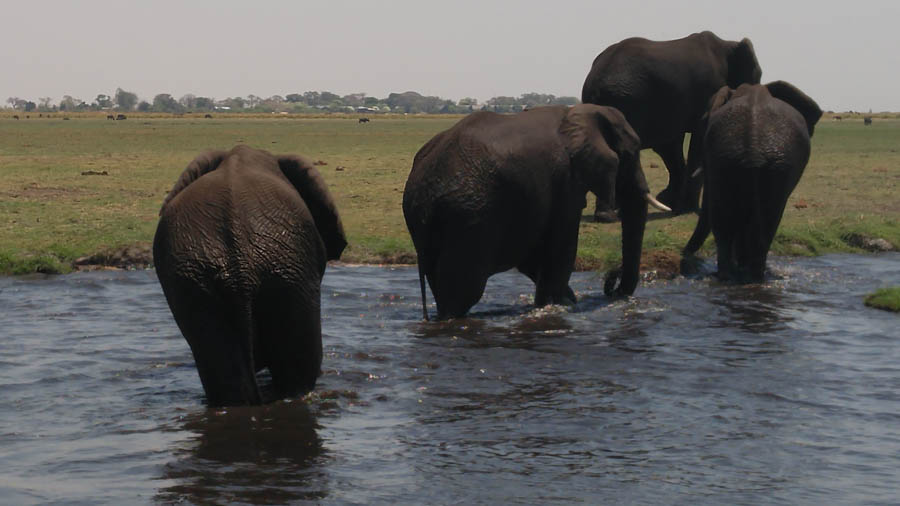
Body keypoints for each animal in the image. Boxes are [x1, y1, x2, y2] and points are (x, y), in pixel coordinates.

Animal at [404, 104, 672, 320]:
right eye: (630, 154)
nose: (612, 280)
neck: (581, 112)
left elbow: (533, 255)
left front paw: (559, 302)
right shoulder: (567, 179)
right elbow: (563, 245)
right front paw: (560, 306)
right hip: (468, 216)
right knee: (464, 289)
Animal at [580, 30, 764, 219]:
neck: (728, 45)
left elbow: (669, 145)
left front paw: (670, 202)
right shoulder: (707, 92)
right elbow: (696, 138)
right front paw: (684, 209)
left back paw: (610, 214)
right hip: (628, 102)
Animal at [684, 81, 824, 282]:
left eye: (702, 121)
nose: (685, 254)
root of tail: (753, 149)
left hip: (736, 161)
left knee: (726, 221)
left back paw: (732, 275)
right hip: (760, 164)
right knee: (764, 223)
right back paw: (747, 275)